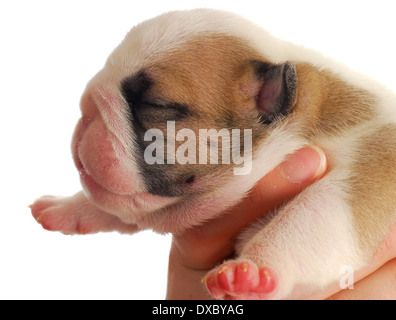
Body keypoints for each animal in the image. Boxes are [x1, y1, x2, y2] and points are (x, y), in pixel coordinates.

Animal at [30, 10, 396, 300]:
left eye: (156, 104)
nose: (86, 108)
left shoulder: (368, 166)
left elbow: (314, 213)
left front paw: (252, 268)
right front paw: (68, 207)